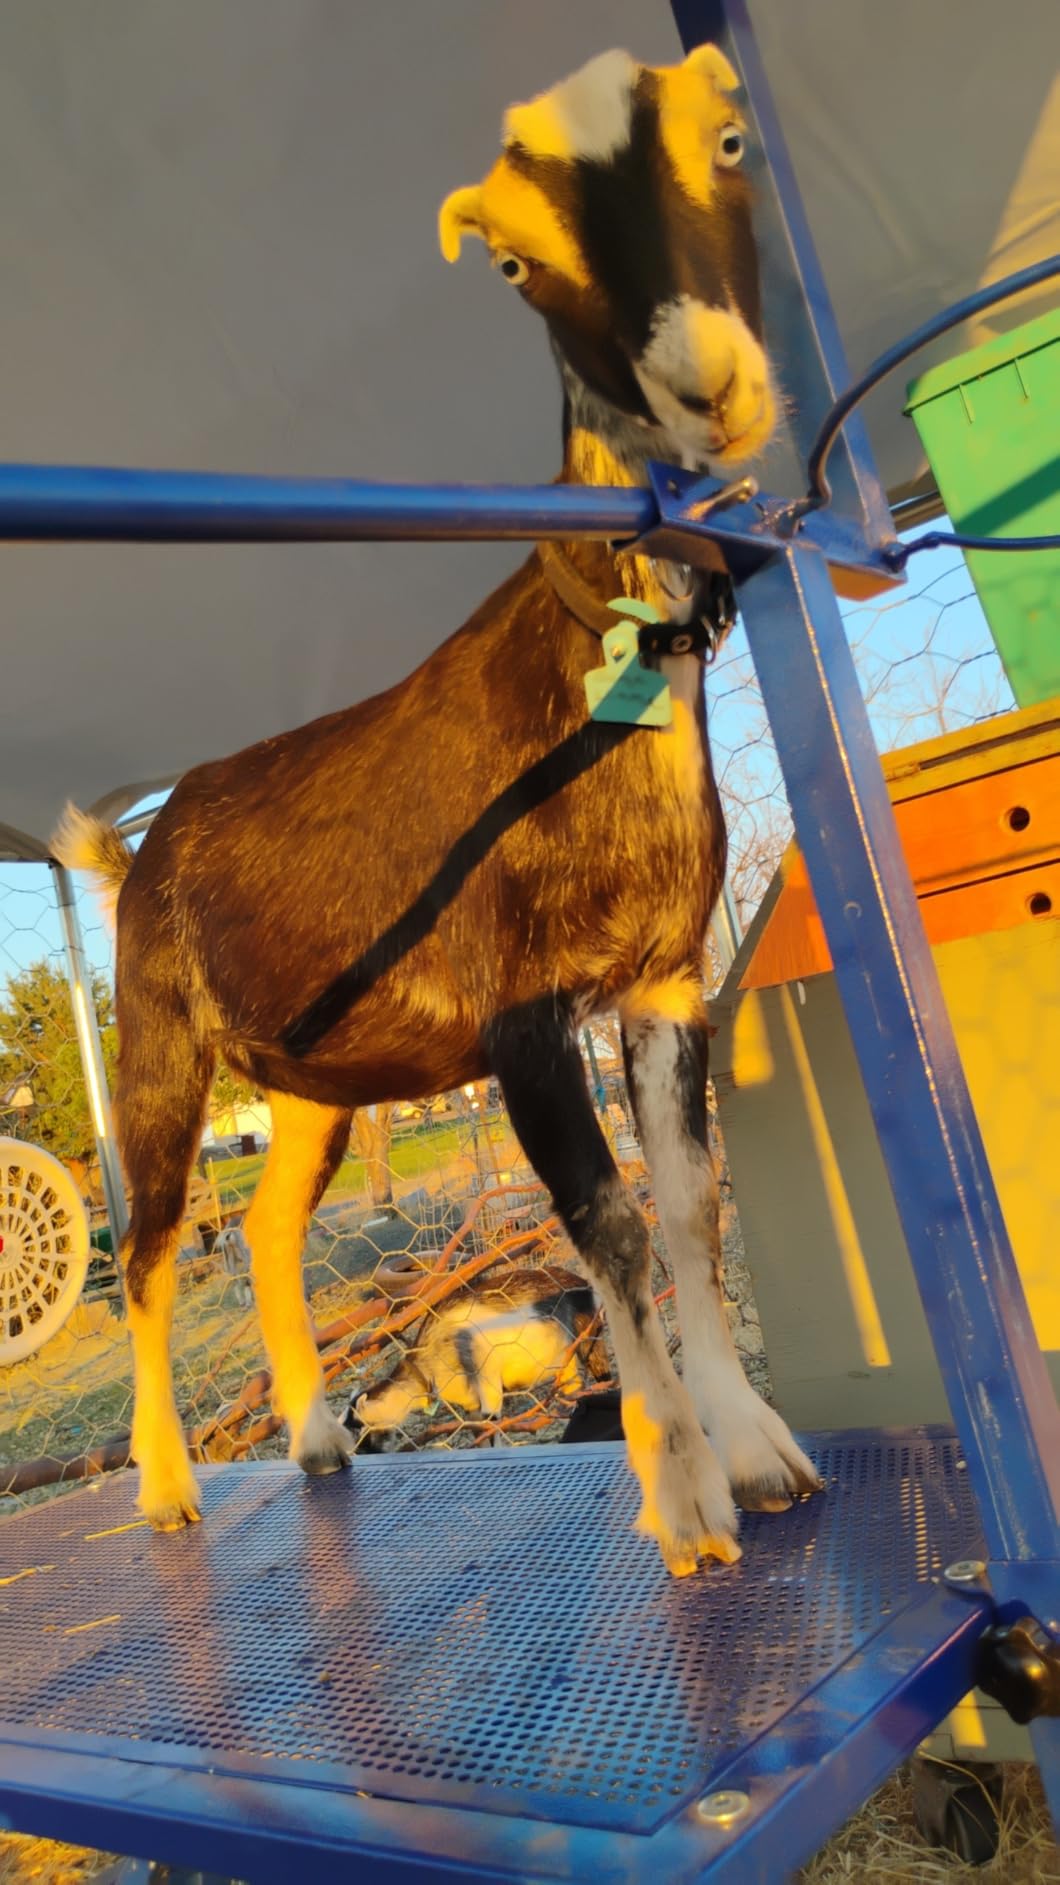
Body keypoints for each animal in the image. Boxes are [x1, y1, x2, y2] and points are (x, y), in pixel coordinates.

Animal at [55, 43, 820, 1575]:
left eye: (729, 142)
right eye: (513, 263)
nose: (705, 387)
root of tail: (140, 846)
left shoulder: (663, 980)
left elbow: (689, 1204)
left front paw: (758, 1455)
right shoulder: (518, 1015)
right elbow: (607, 1221)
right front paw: (685, 1500)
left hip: (307, 1084)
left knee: (269, 1229)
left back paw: (312, 1439)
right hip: (161, 1041)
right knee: (154, 1251)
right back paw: (166, 1486)